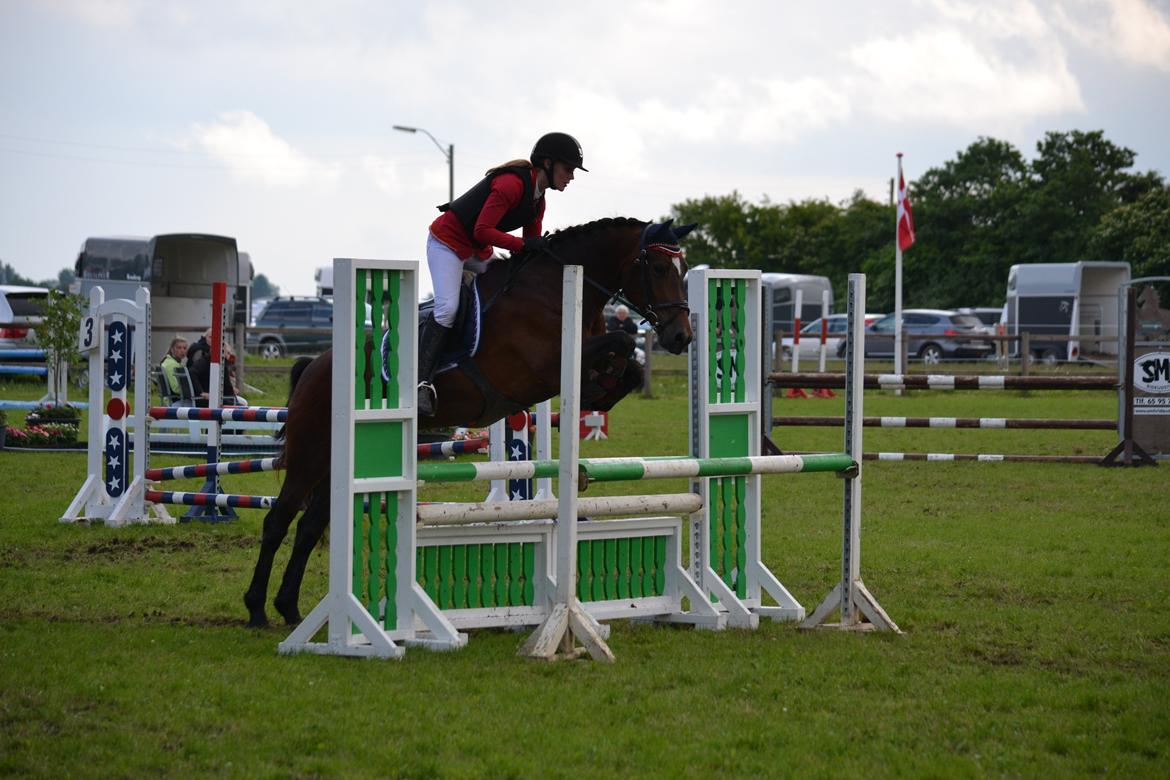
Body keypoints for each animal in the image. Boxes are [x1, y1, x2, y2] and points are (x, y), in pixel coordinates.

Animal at [244, 217, 697, 627]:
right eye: (659, 268)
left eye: (685, 270)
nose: (681, 337)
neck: (554, 290)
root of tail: (315, 365)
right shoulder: (545, 368)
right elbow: (620, 340)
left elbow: (628, 366)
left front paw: (603, 389)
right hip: (311, 453)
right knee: (279, 520)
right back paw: (257, 610)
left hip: (341, 463)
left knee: (309, 525)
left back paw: (289, 608)